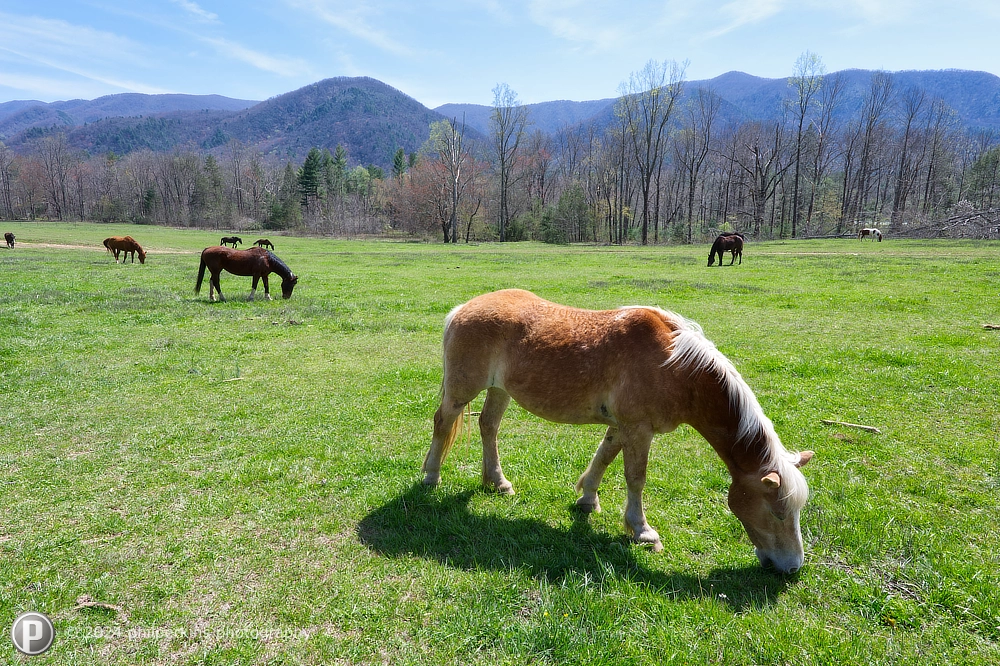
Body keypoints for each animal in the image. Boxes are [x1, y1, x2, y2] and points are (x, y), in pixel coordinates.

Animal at [422, 289, 814, 573]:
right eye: (778, 512)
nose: (793, 567)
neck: (675, 364)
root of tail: (462, 308)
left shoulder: (620, 426)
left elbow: (604, 458)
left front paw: (586, 499)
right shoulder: (639, 429)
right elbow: (635, 477)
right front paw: (642, 531)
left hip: (499, 389)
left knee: (488, 426)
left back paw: (497, 482)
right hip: (461, 390)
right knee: (443, 424)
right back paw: (430, 477)